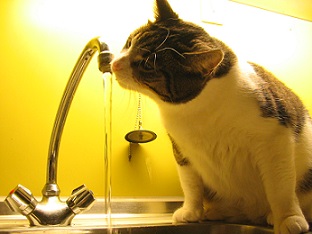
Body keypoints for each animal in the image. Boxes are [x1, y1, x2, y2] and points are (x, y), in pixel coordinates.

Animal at [111, 0, 312, 234]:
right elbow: (190, 184)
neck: (196, 109)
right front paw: (191, 211)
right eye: (130, 42)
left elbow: (280, 187)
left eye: (147, 65)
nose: (114, 64)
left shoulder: (274, 139)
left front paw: (288, 218)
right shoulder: (182, 149)